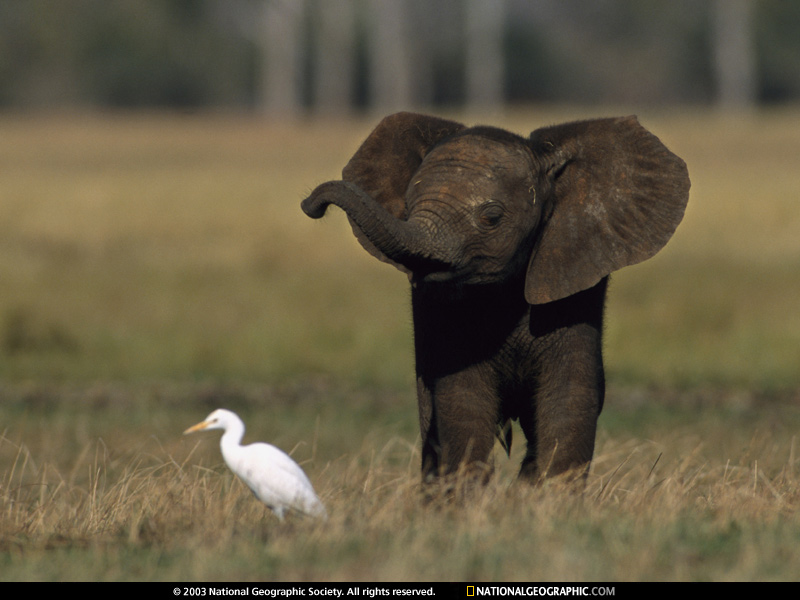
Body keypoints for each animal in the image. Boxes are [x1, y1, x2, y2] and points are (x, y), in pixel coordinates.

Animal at [300, 112, 688, 486]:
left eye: (491, 217)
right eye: (406, 208)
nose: (310, 204)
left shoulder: (574, 285)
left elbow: (568, 401)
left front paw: (548, 503)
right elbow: (463, 402)